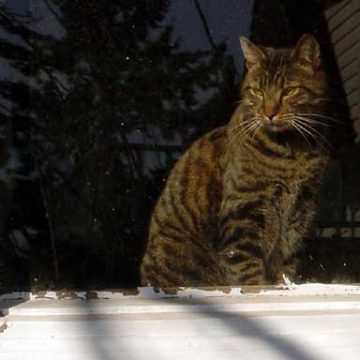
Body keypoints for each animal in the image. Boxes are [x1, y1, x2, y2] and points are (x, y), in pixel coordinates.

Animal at [141, 33, 332, 286]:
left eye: (289, 91)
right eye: (258, 92)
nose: (269, 113)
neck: (292, 152)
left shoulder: (302, 208)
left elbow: (286, 264)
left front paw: (284, 285)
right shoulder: (242, 210)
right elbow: (247, 270)